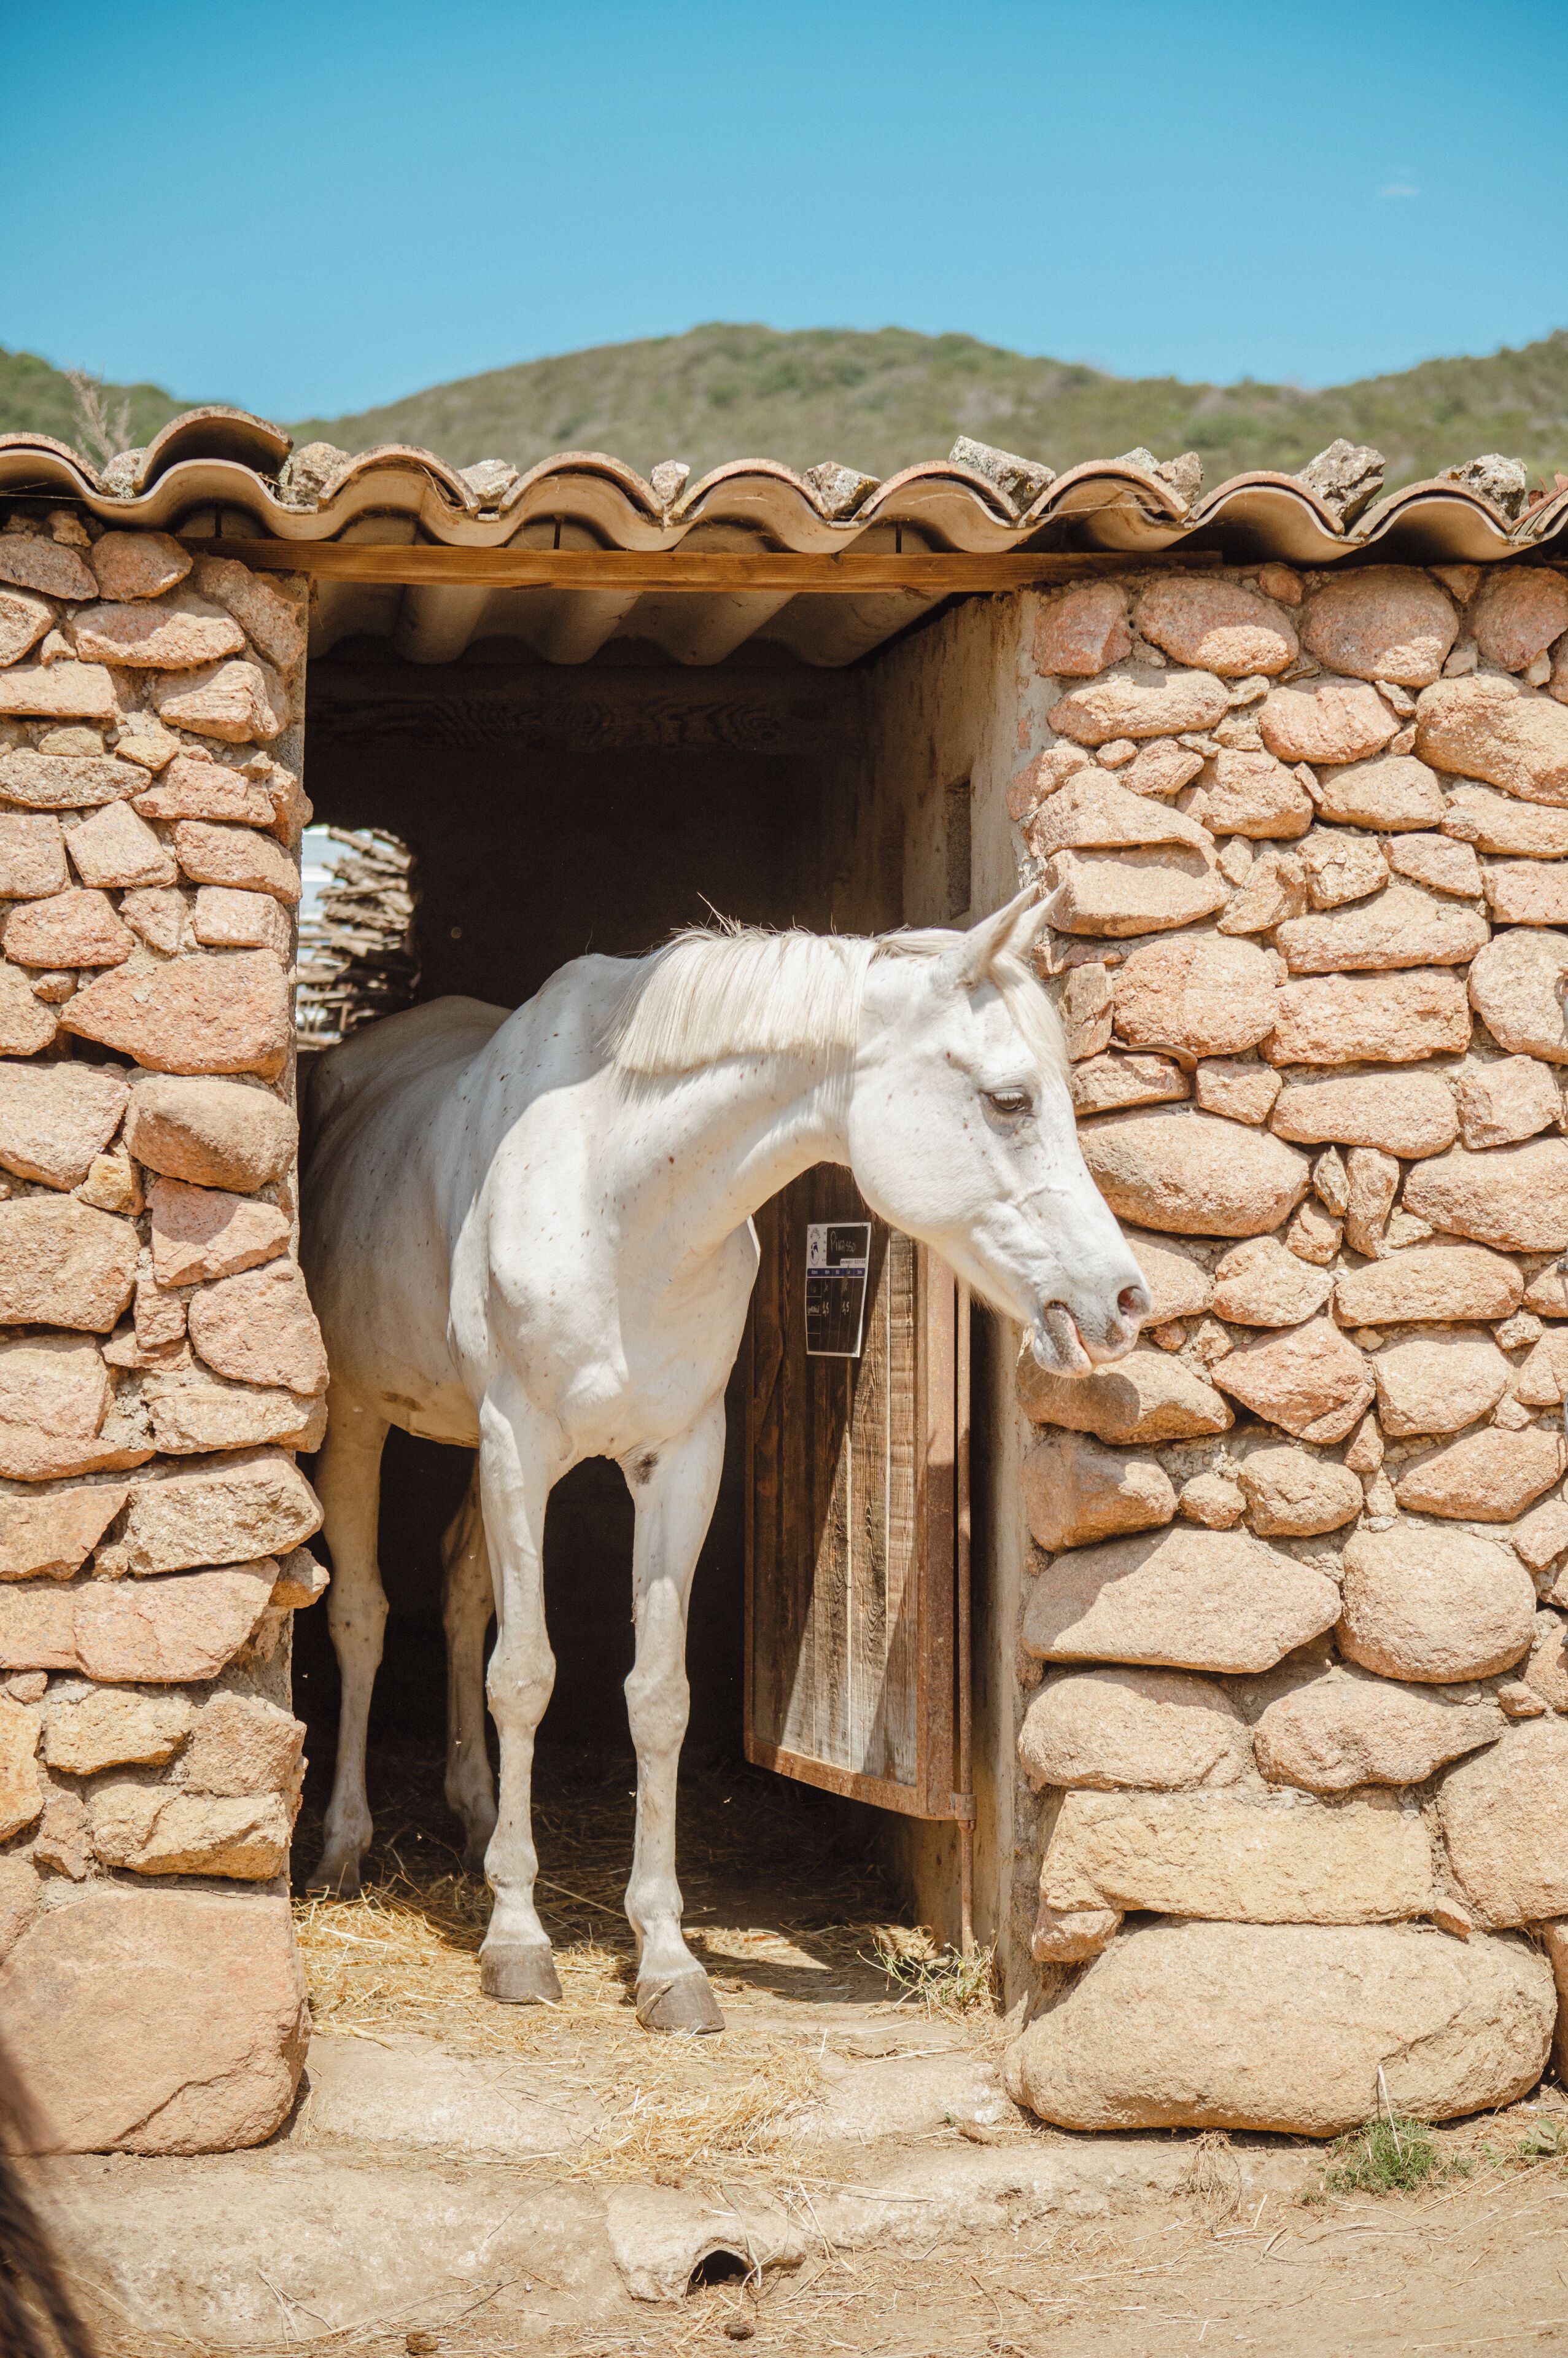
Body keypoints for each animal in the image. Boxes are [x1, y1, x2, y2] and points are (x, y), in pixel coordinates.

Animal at [299, 890, 1149, 2033]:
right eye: (1008, 1100)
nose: (1122, 1302)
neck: (615, 1196)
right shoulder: (520, 1442)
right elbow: (524, 1676)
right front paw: (517, 1941)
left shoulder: (680, 1457)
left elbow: (656, 1696)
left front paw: (665, 1959)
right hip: (362, 1420)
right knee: (362, 1616)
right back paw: (342, 1849)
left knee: (465, 1593)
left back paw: (477, 1820)